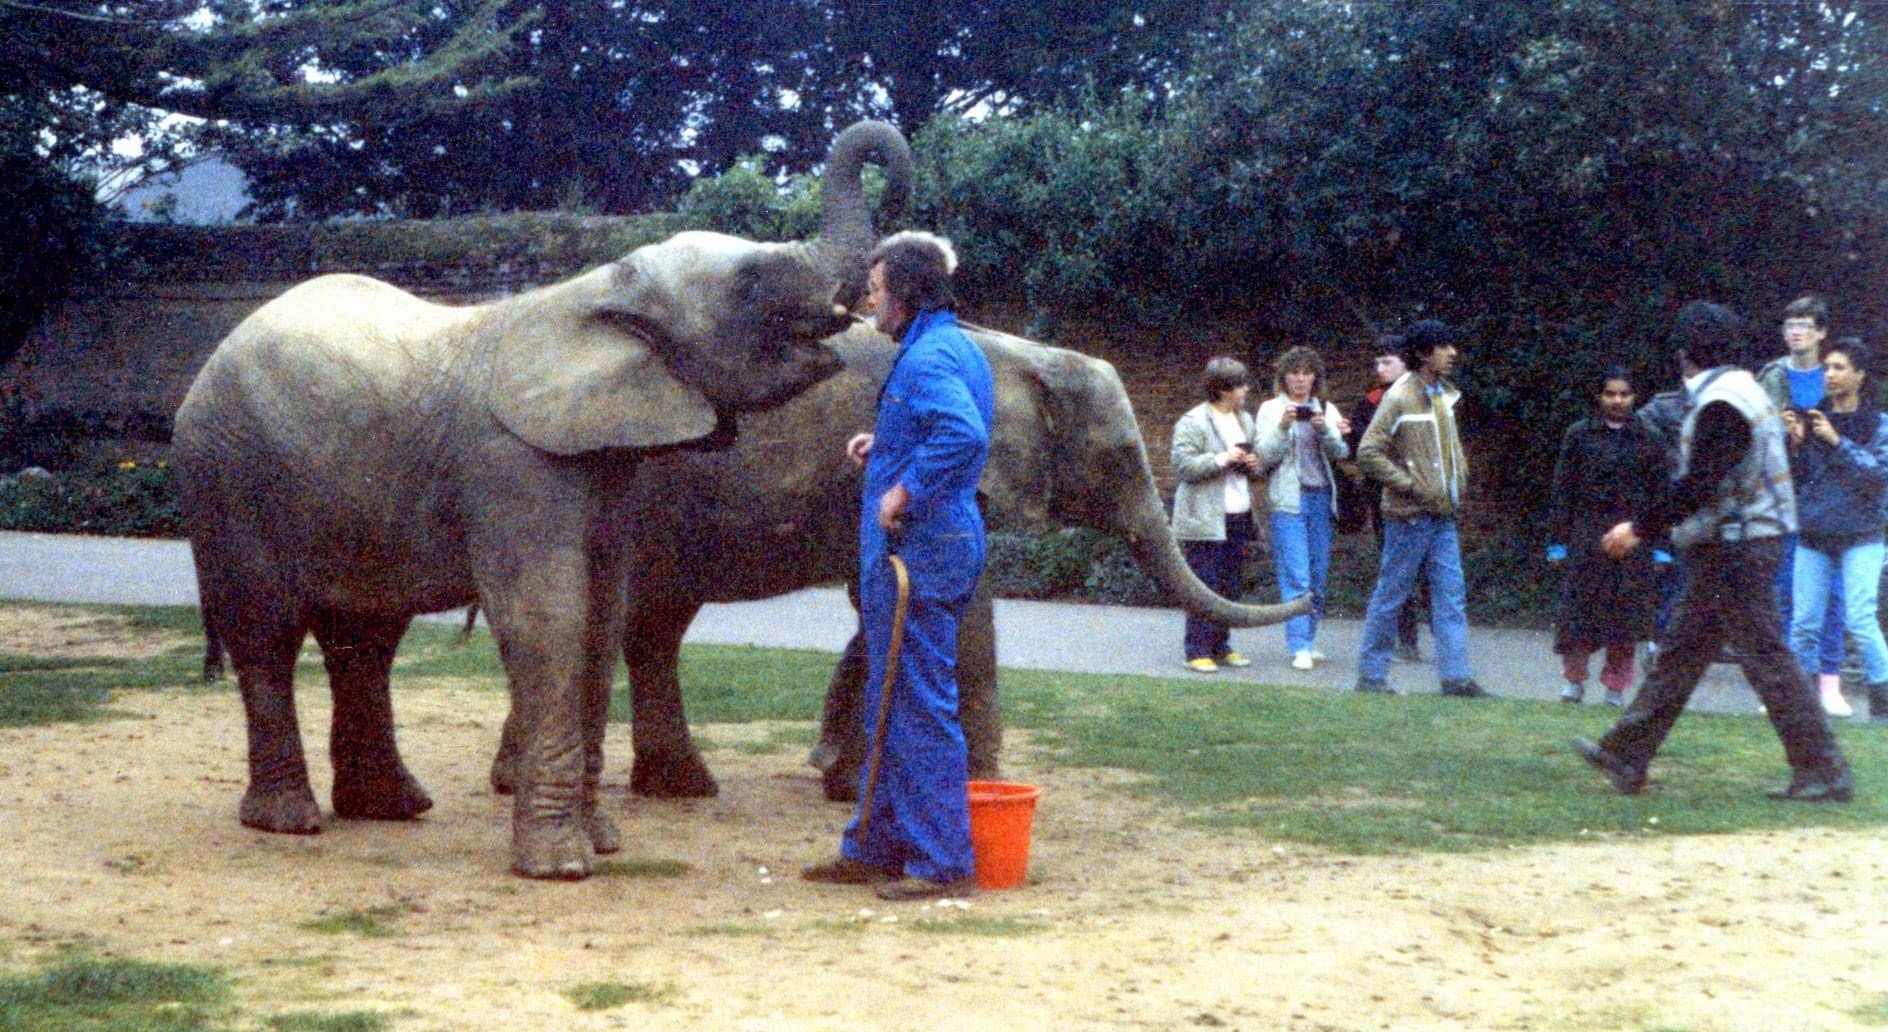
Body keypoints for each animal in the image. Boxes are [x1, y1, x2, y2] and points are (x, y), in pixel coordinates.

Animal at [172, 120, 912, 880]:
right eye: (751, 282)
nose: (898, 170)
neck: (592, 292)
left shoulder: (610, 461)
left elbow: (602, 616)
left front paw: (603, 843)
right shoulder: (510, 460)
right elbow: (549, 614)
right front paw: (558, 866)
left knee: (367, 635)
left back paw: (391, 807)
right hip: (225, 476)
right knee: (266, 630)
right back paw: (288, 820)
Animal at [483, 321, 1311, 801]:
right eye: (1118, 456)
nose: (1308, 600)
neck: (1016, 350)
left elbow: (880, 602)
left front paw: (841, 778)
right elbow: (949, 603)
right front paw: (977, 784)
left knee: (655, 628)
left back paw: (673, 787)